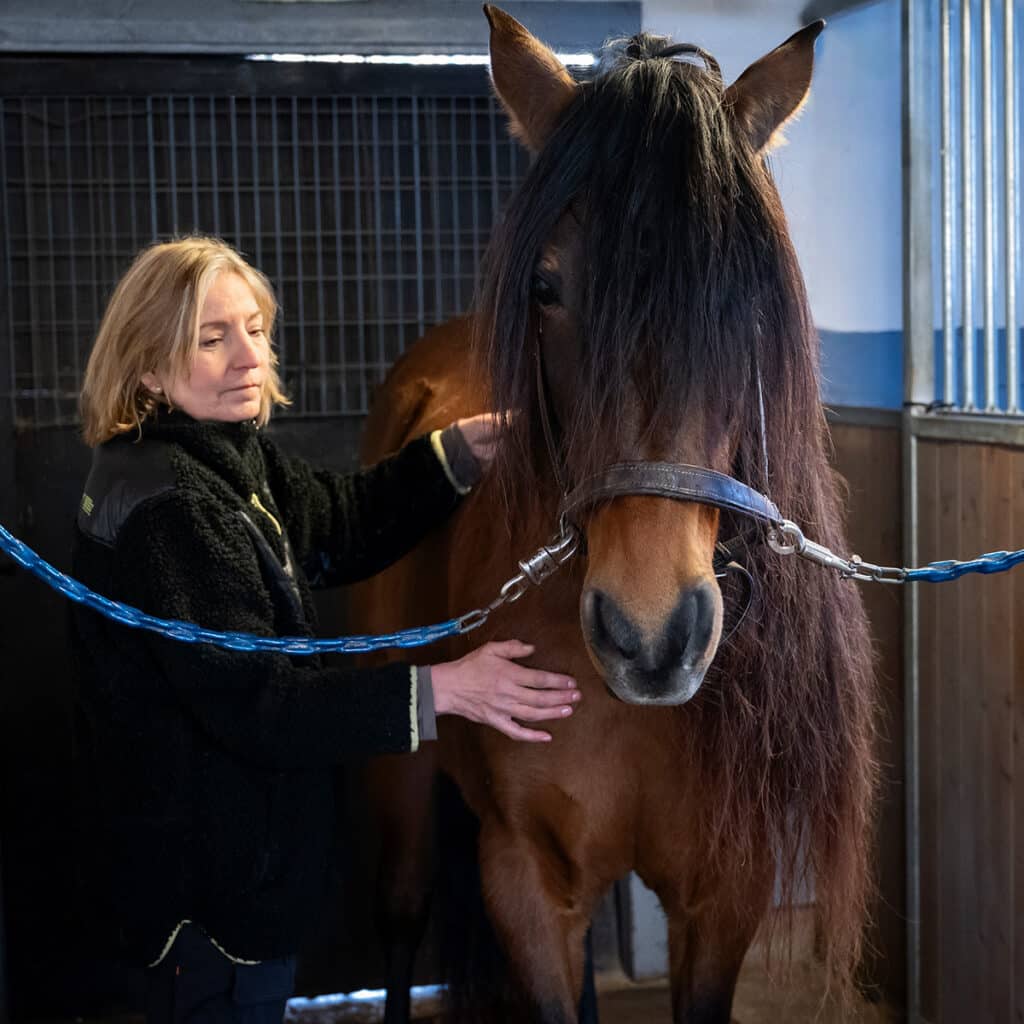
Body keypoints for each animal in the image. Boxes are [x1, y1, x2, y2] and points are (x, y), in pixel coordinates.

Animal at [348, 9, 876, 1024]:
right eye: (547, 289)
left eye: (747, 300)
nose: (651, 637)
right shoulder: (523, 879)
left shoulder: (727, 890)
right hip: (401, 778)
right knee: (398, 916)